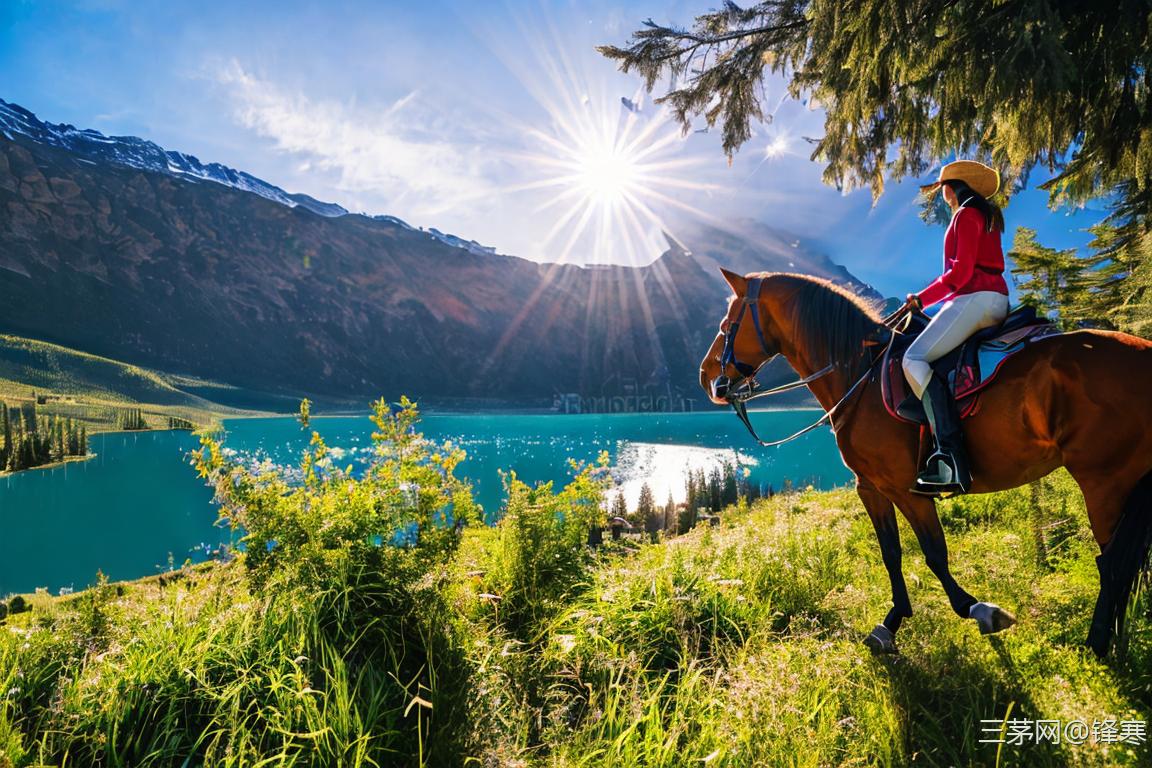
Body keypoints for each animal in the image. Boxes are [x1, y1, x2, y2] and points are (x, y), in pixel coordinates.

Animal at [700, 269, 1152, 654]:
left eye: (726, 323)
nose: (707, 378)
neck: (859, 376)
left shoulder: (902, 489)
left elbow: (932, 554)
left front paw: (976, 609)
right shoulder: (873, 487)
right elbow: (892, 553)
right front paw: (893, 622)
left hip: (1104, 480)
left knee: (1113, 562)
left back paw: (1098, 643)